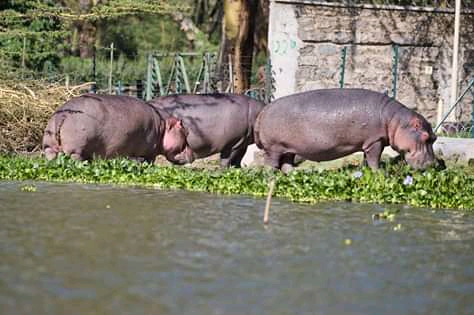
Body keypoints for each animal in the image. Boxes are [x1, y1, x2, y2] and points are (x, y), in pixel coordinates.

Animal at [42, 93, 193, 163]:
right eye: (185, 130)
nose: (194, 153)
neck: (163, 126)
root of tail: (63, 115)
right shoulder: (148, 154)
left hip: (49, 146)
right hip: (75, 151)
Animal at [256, 88, 436, 173]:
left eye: (434, 137)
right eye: (425, 136)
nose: (434, 164)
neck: (395, 121)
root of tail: (263, 110)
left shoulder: (368, 143)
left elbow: (366, 160)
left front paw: (364, 171)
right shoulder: (375, 141)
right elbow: (374, 159)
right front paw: (380, 172)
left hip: (288, 149)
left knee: (286, 164)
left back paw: (297, 174)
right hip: (273, 148)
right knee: (270, 165)